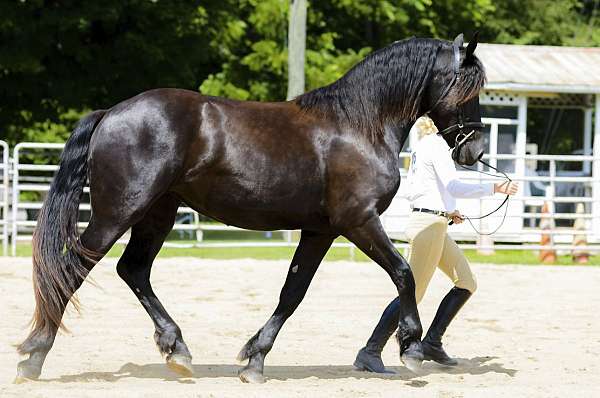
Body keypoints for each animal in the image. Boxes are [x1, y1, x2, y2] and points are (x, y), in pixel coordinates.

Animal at [16, 33, 486, 382]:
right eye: (468, 89)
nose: (476, 150)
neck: (358, 125)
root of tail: (111, 113)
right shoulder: (359, 222)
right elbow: (404, 274)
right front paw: (411, 346)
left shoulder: (321, 230)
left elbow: (293, 291)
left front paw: (255, 359)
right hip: (118, 213)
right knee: (73, 269)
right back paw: (33, 358)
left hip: (157, 213)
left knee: (132, 270)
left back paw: (177, 349)